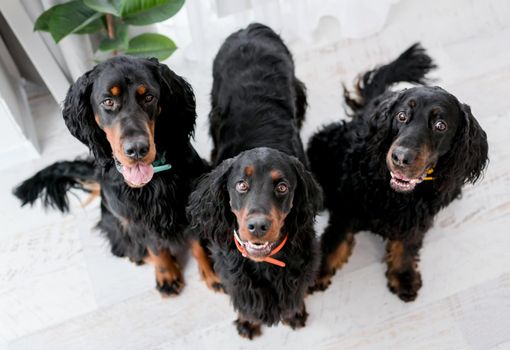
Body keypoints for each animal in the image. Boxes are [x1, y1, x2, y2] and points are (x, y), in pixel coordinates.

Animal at [14, 56, 208, 296]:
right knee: (130, 251)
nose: (137, 149)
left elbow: (197, 241)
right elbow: (154, 248)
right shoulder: (134, 220)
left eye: (149, 97)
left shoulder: (188, 201)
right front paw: (167, 274)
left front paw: (213, 274)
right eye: (108, 102)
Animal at [187, 22, 322, 340]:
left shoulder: (301, 262)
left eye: (282, 186)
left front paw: (295, 312)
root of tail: (249, 28)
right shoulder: (233, 271)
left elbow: (295, 290)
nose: (258, 227)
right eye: (241, 185)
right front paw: (248, 321)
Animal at [306, 43, 490, 300]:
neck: (396, 195)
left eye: (440, 125)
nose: (401, 157)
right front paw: (317, 273)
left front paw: (403, 275)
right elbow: (336, 240)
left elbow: (407, 243)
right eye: (401, 116)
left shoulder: (419, 218)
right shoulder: (348, 204)